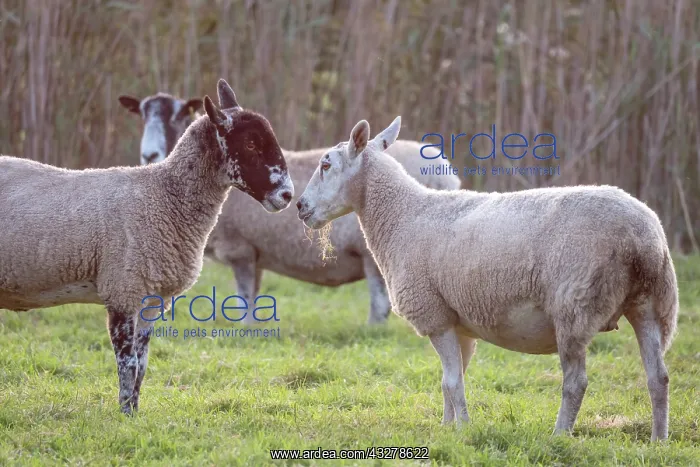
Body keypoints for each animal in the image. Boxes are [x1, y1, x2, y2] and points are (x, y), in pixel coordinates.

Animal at [0, 79, 294, 414]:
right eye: (250, 144)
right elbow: (127, 363)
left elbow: (141, 364)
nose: (287, 195)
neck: (162, 194)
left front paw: (135, 414)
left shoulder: (152, 300)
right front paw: (124, 414)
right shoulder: (122, 290)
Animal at [121, 92, 460, 324]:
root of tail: (447, 177)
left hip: (373, 257)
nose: (149, 154)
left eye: (177, 116)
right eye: (141, 115)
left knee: (379, 308)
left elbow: (244, 302)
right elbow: (252, 299)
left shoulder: (241, 249)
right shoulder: (255, 253)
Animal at [296, 116, 679, 441]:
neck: (402, 216)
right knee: (658, 377)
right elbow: (450, 381)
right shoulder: (457, 321)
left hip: (575, 306)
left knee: (576, 382)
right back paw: (658, 441)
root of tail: (642, 237)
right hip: (651, 303)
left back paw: (559, 435)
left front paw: (463, 429)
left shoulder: (434, 314)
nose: (300, 206)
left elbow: (453, 382)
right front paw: (447, 427)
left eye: (326, 165)